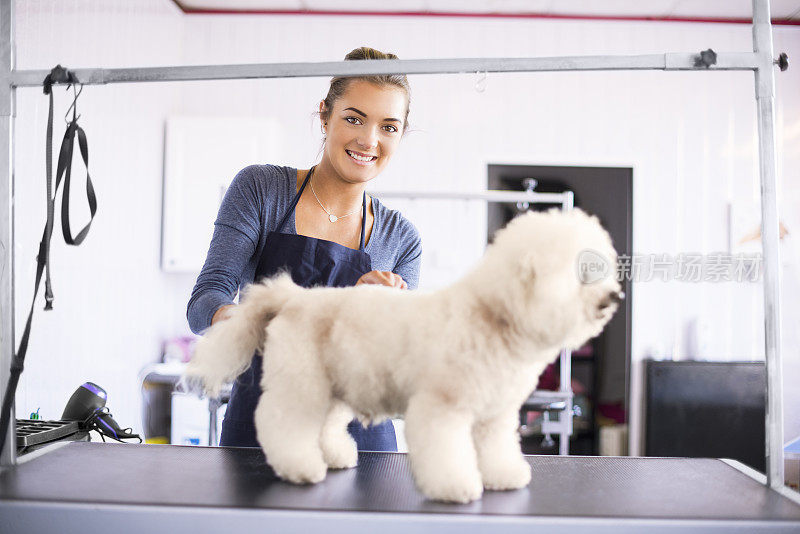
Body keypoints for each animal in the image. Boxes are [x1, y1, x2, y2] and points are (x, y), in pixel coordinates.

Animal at [184, 210, 620, 506]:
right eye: (582, 270)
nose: (614, 297)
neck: (492, 314)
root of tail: (292, 298)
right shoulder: (441, 407)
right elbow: (446, 452)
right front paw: (454, 486)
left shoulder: (495, 415)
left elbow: (497, 449)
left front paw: (505, 476)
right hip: (301, 382)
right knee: (282, 423)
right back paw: (300, 467)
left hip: (335, 385)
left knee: (325, 425)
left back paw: (336, 456)